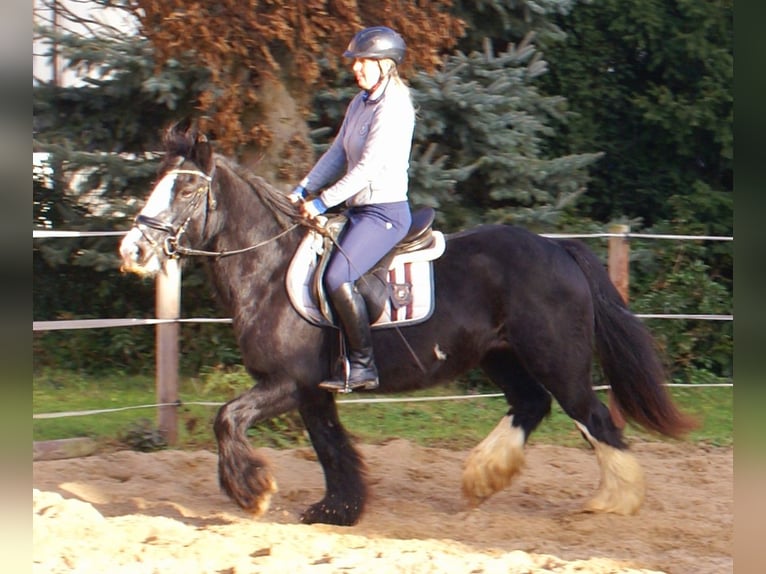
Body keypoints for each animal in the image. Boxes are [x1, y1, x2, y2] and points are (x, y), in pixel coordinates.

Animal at [118, 121, 696, 528]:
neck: (269, 269)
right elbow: (331, 449)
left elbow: (227, 419)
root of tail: (558, 249)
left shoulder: (288, 382)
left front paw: (253, 493)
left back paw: (612, 502)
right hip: (502, 357)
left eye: (186, 191)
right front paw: (336, 511)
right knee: (532, 405)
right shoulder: (313, 390)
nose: (133, 251)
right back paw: (483, 478)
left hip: (558, 361)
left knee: (594, 418)